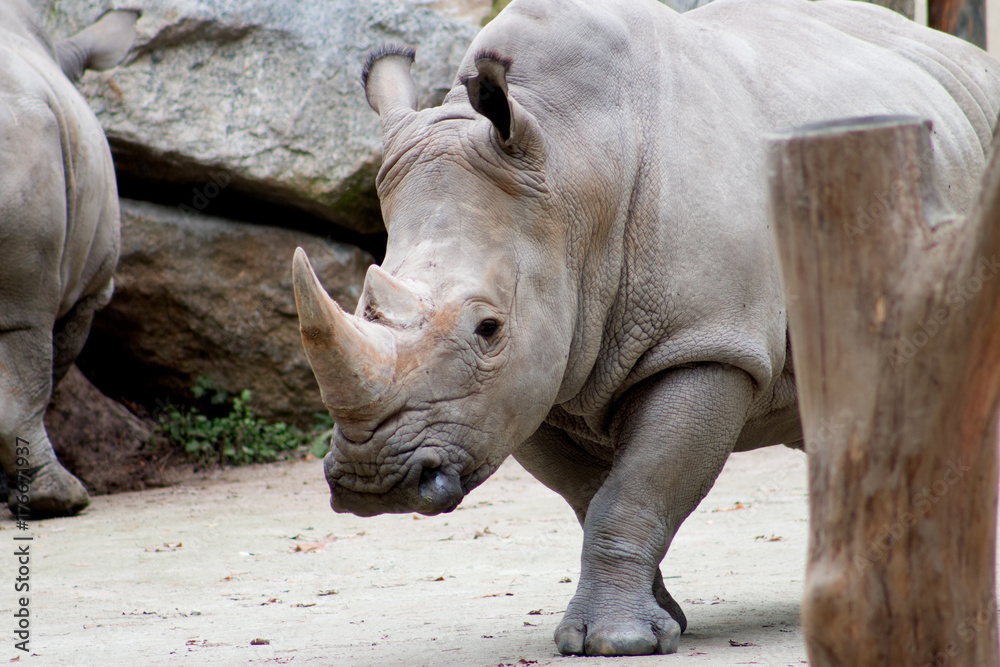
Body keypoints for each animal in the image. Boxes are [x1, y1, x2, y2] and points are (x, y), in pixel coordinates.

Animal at [292, 0, 1000, 656]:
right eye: (363, 307)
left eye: (488, 328)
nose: (373, 481)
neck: (570, 170)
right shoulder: (534, 377)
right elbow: (592, 495)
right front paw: (657, 622)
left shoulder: (705, 343)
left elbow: (637, 487)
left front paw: (617, 642)